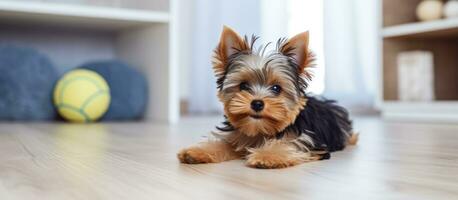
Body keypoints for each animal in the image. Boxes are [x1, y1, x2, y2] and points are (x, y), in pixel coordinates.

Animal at [177, 26, 356, 169]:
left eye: (276, 88)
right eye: (243, 86)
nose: (257, 103)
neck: (260, 130)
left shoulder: (308, 142)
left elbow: (287, 144)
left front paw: (266, 156)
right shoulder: (237, 134)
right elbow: (223, 142)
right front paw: (196, 152)